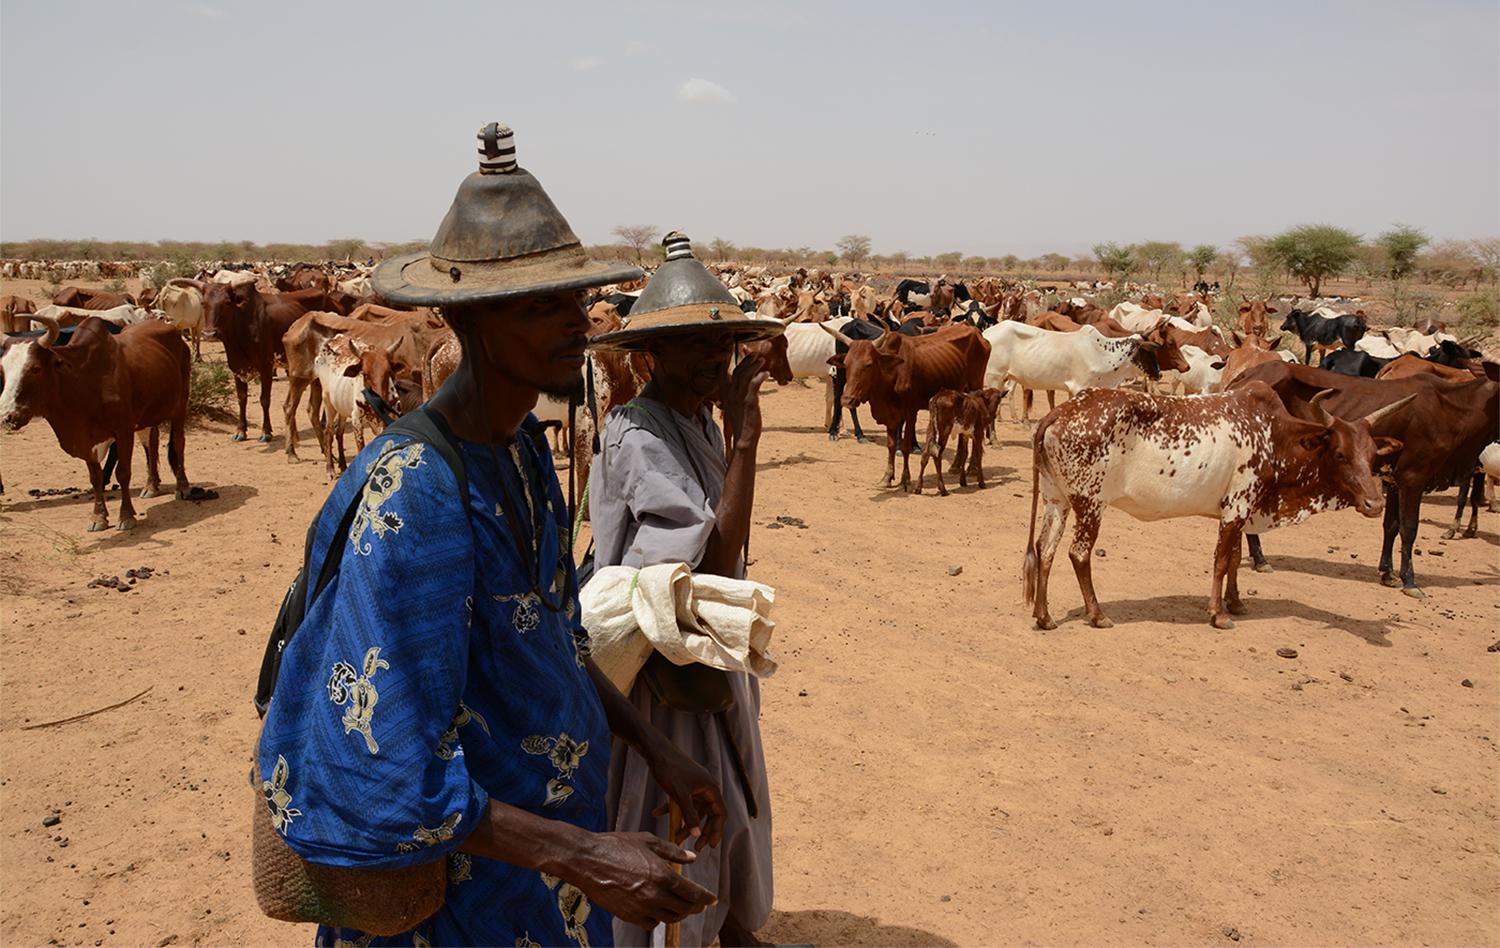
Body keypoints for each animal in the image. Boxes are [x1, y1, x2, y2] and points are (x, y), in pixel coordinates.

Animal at [0, 316, 192, 531]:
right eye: (2, 370)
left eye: (35, 368)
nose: (7, 416)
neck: (84, 381)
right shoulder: (86, 438)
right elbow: (96, 478)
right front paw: (98, 517)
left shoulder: (124, 431)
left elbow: (122, 473)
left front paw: (126, 516)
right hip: (149, 415)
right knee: (151, 442)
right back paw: (151, 486)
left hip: (180, 405)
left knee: (179, 442)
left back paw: (182, 487)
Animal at [828, 323, 990, 491]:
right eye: (846, 364)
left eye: (868, 364)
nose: (847, 399)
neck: (892, 373)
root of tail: (974, 330)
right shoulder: (891, 416)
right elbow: (891, 445)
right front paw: (887, 477)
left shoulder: (911, 412)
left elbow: (905, 446)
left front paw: (905, 479)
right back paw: (956, 465)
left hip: (975, 387)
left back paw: (972, 468)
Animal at [1022, 384, 1408, 630]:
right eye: (1340, 454)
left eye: (1372, 456)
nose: (1375, 503)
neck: (1274, 435)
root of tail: (1059, 412)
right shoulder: (1237, 507)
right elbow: (1222, 561)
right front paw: (1219, 614)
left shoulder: (1238, 510)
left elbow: (1236, 558)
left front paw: (1235, 602)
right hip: (1090, 504)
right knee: (1078, 553)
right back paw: (1097, 614)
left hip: (1057, 500)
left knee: (1045, 548)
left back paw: (1044, 616)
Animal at [1232, 361, 1498, 596]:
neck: (1452, 407)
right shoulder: (1413, 479)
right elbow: (1409, 528)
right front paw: (1409, 581)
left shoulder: (1393, 480)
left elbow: (1391, 525)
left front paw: (1387, 573)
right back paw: (1259, 559)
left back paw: (1259, 559)